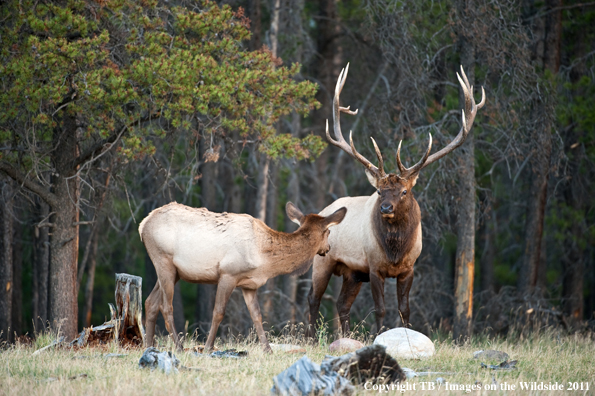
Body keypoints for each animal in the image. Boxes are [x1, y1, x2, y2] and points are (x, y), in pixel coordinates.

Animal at [139, 201, 344, 352]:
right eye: (329, 231)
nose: (328, 248)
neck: (265, 259)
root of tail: (143, 224)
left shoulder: (249, 285)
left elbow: (257, 315)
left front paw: (268, 350)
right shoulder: (228, 274)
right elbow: (218, 312)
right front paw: (208, 348)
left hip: (174, 271)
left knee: (150, 302)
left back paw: (149, 346)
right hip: (163, 260)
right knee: (166, 306)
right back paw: (179, 347)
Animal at [310, 63, 486, 338]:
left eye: (404, 191)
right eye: (379, 191)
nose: (385, 208)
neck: (395, 250)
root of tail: (324, 209)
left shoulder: (409, 268)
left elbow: (405, 310)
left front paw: (406, 336)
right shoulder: (374, 267)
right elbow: (380, 309)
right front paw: (378, 336)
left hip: (352, 273)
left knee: (341, 304)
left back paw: (346, 337)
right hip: (323, 260)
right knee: (313, 300)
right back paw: (306, 336)